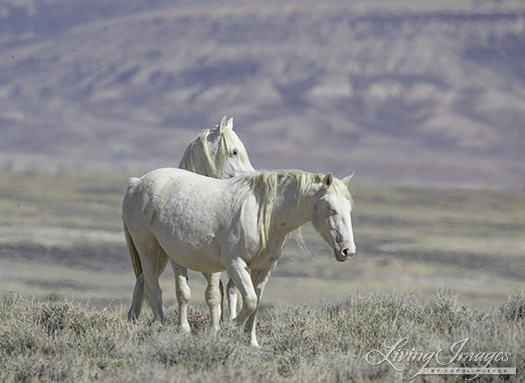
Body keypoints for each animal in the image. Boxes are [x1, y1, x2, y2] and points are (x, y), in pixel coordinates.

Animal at [123, 169, 354, 348]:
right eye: (332, 209)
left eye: (349, 209)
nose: (347, 251)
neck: (266, 214)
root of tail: (136, 183)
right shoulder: (235, 263)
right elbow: (250, 301)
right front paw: (228, 328)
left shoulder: (264, 269)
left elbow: (256, 303)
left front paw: (252, 342)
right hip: (148, 249)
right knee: (153, 289)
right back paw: (162, 328)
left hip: (164, 254)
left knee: (146, 285)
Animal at [125, 117, 252, 330]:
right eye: (234, 152)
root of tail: (134, 185)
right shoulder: (179, 258)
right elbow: (185, 292)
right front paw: (186, 328)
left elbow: (218, 293)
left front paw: (217, 327)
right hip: (150, 251)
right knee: (150, 286)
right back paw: (156, 322)